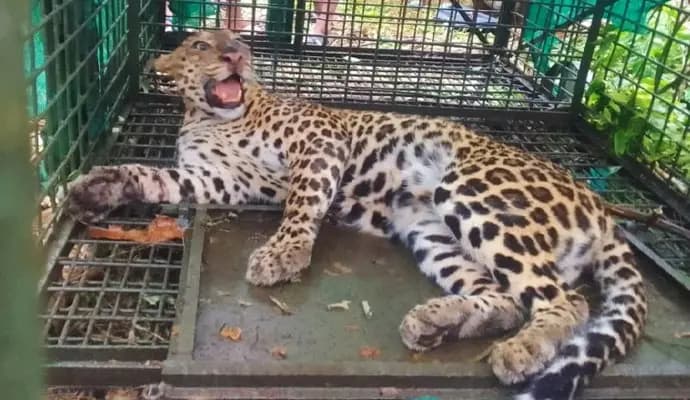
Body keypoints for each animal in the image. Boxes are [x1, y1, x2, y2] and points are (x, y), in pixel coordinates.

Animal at [66, 29, 647, 400]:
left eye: (237, 41)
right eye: (201, 45)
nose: (237, 54)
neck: (209, 117)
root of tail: (602, 209)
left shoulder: (320, 139)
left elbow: (303, 202)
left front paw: (285, 253)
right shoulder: (218, 179)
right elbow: (154, 175)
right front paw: (100, 186)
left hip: (471, 192)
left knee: (566, 301)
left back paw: (522, 351)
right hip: (429, 231)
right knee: (505, 297)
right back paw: (439, 320)